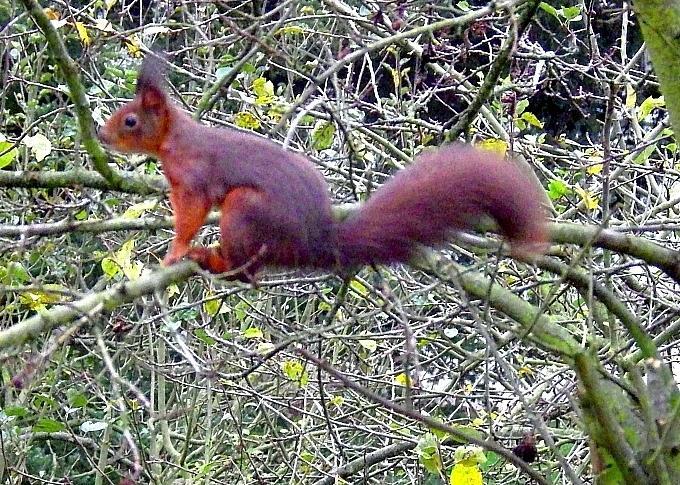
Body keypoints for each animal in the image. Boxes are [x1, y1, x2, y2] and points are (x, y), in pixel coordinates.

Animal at [99, 54, 548, 280]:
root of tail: (314, 244)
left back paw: (215, 261)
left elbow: (191, 214)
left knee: (245, 273)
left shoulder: (193, 180)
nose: (101, 136)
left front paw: (174, 253)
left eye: (130, 121)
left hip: (247, 210)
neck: (174, 142)